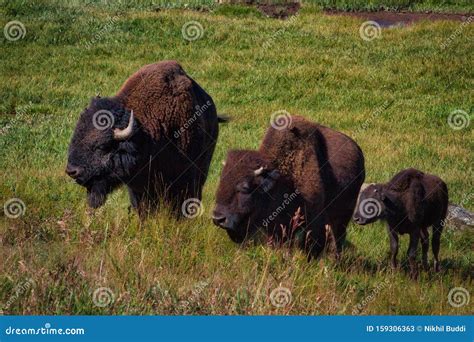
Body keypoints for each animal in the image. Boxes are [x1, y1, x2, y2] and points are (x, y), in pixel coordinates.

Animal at [212, 115, 366, 260]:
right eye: (221, 182)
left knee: (337, 238)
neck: (283, 179)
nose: (218, 218)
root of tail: (359, 152)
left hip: (342, 216)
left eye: (245, 188)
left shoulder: (314, 219)